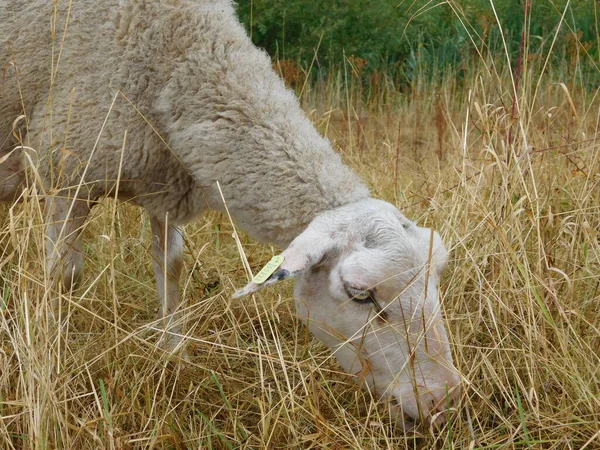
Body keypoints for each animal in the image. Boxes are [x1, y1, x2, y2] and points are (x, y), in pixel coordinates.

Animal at [0, 0, 460, 428]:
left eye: (437, 276)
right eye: (361, 294)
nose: (442, 402)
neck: (171, 52)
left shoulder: (164, 189)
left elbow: (170, 268)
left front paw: (174, 355)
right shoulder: (63, 171)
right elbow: (63, 276)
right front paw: (53, 365)